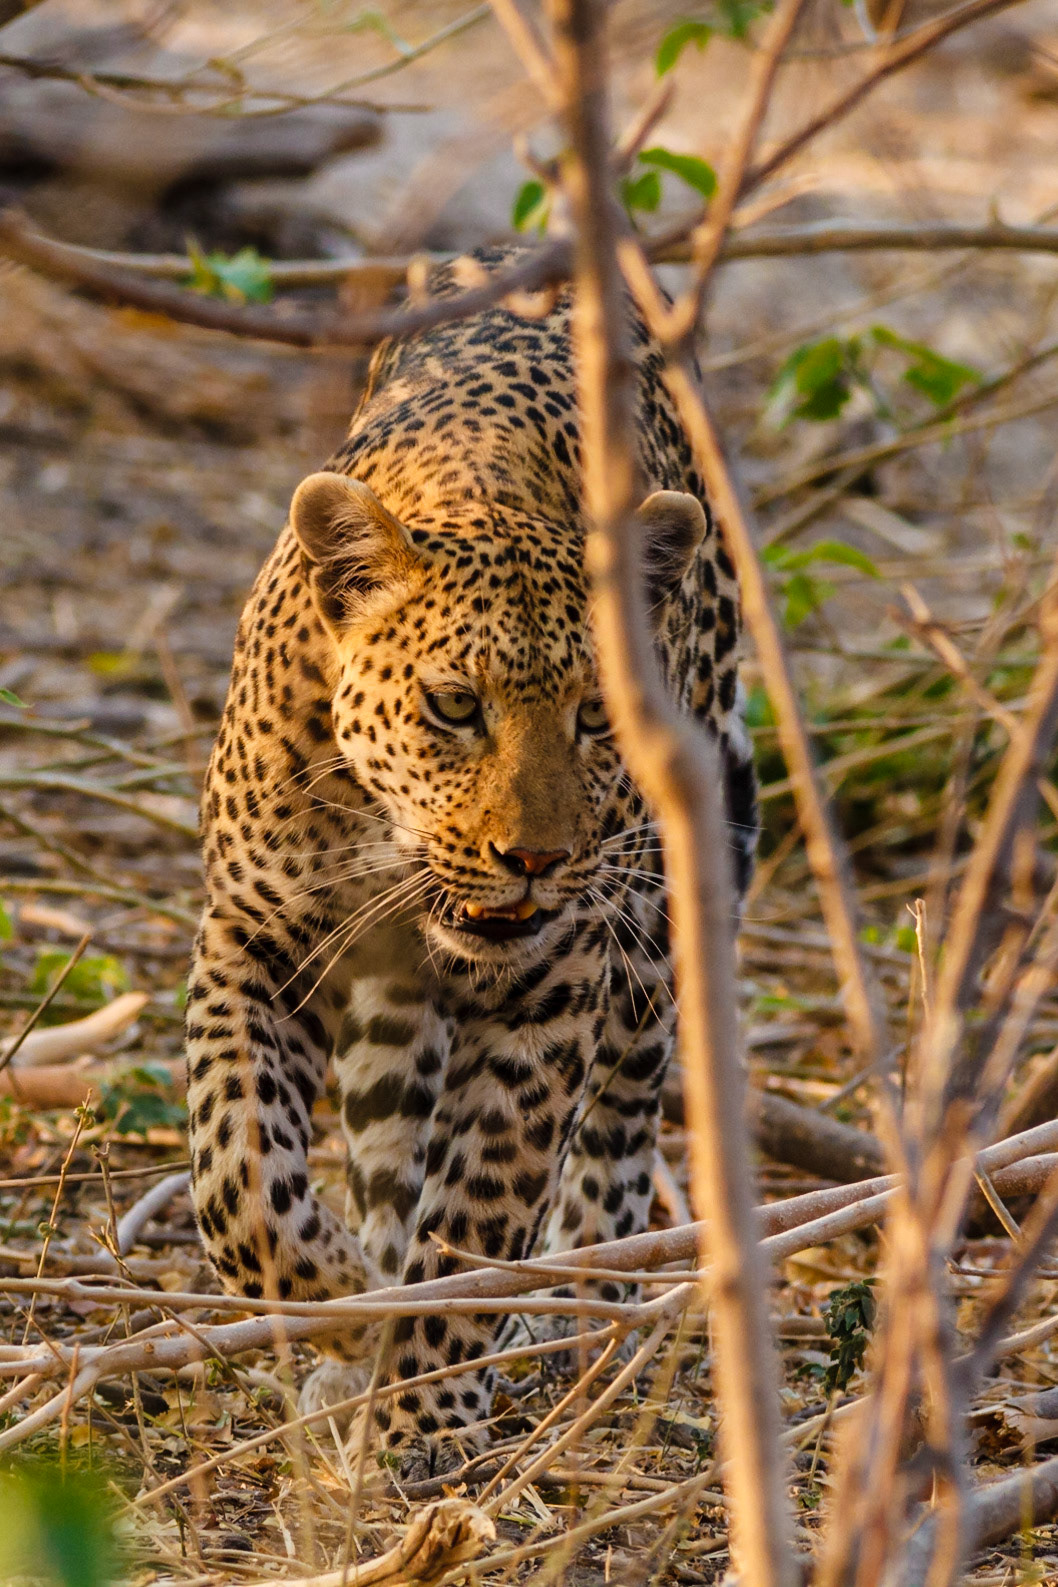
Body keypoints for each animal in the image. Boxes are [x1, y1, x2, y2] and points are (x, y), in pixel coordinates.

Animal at [185, 245, 757, 1480]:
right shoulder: (252, 937)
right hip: (389, 1004)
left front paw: (424, 1411)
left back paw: (582, 1308)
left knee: (623, 1113)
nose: (532, 857)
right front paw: (335, 1301)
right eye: (453, 706)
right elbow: (238, 1166)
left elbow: (480, 1213)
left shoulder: (551, 989)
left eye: (597, 718)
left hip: (655, 915)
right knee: (385, 1127)